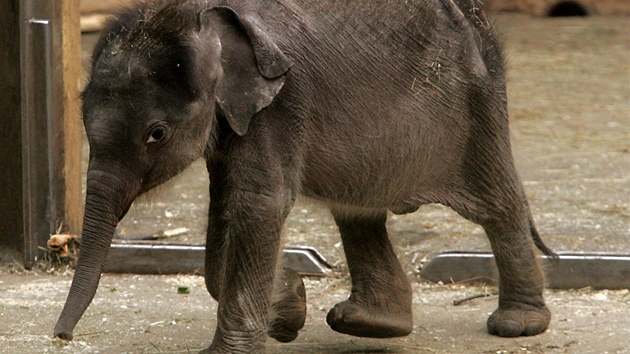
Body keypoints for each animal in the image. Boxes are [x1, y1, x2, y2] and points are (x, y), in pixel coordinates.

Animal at [55, 0, 556, 352]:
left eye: (156, 134)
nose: (62, 337)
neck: (200, 16)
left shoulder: (282, 103)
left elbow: (258, 204)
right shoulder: (236, 118)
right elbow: (228, 206)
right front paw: (291, 305)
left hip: (478, 103)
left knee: (497, 204)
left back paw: (517, 325)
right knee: (356, 211)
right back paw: (371, 323)